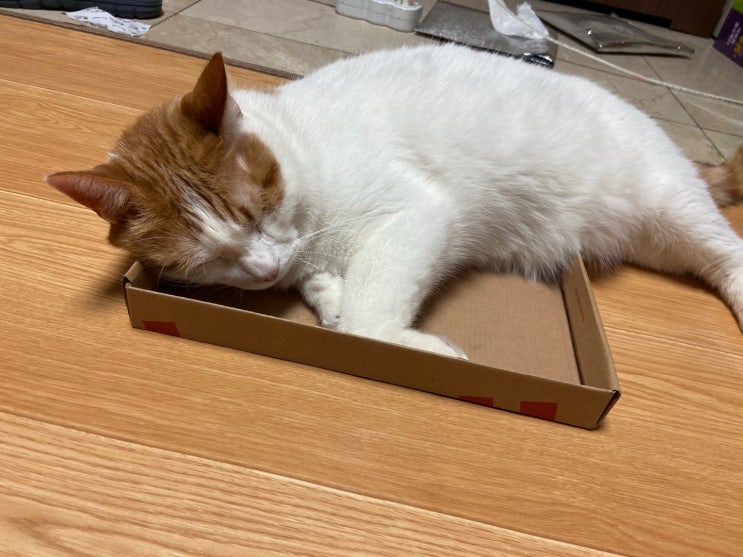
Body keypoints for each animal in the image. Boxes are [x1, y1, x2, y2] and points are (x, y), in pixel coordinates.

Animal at [46, 45, 743, 358]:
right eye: (207, 261)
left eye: (257, 212)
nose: (266, 270)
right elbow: (333, 296)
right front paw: (324, 295)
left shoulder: (415, 213)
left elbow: (366, 320)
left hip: (671, 207)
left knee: (728, 252)